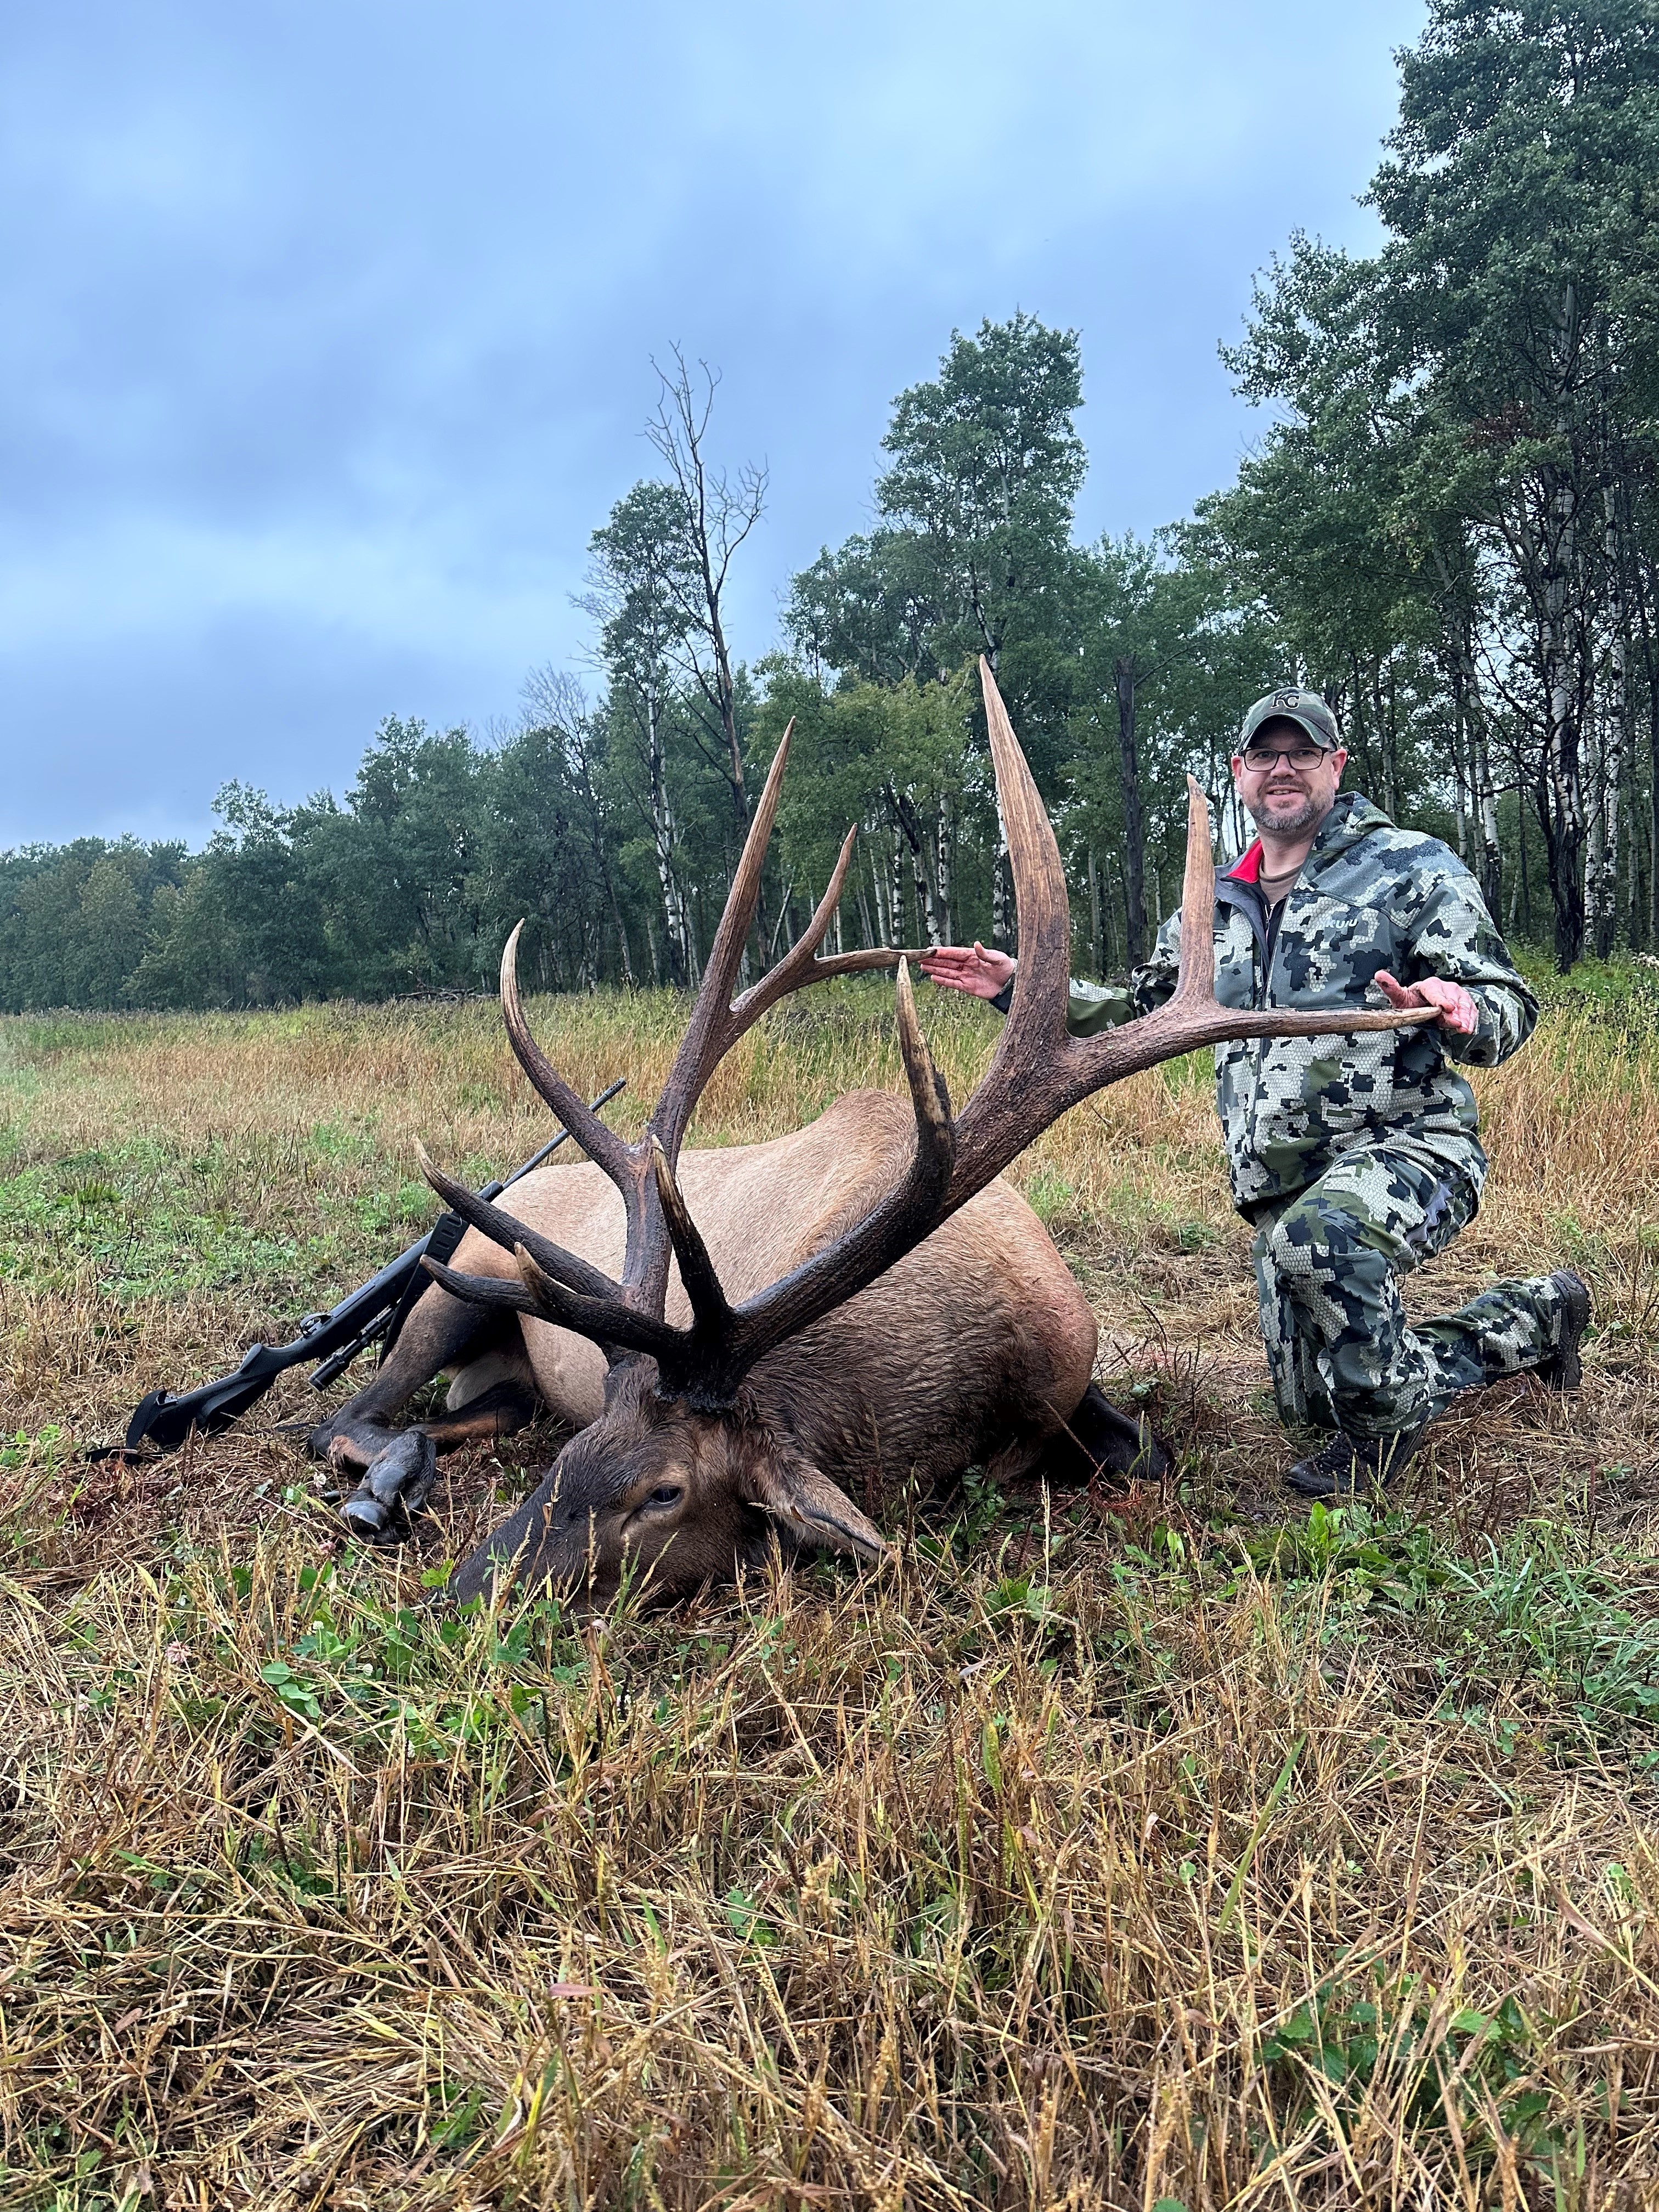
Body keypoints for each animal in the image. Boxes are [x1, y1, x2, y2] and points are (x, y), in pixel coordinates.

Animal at [311, 662, 1425, 1606]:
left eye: (661, 1492)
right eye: (573, 1458)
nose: (463, 1595)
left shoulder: (1076, 1380)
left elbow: (1141, 1453)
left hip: (487, 1352)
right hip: (455, 1286)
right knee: (337, 1418)